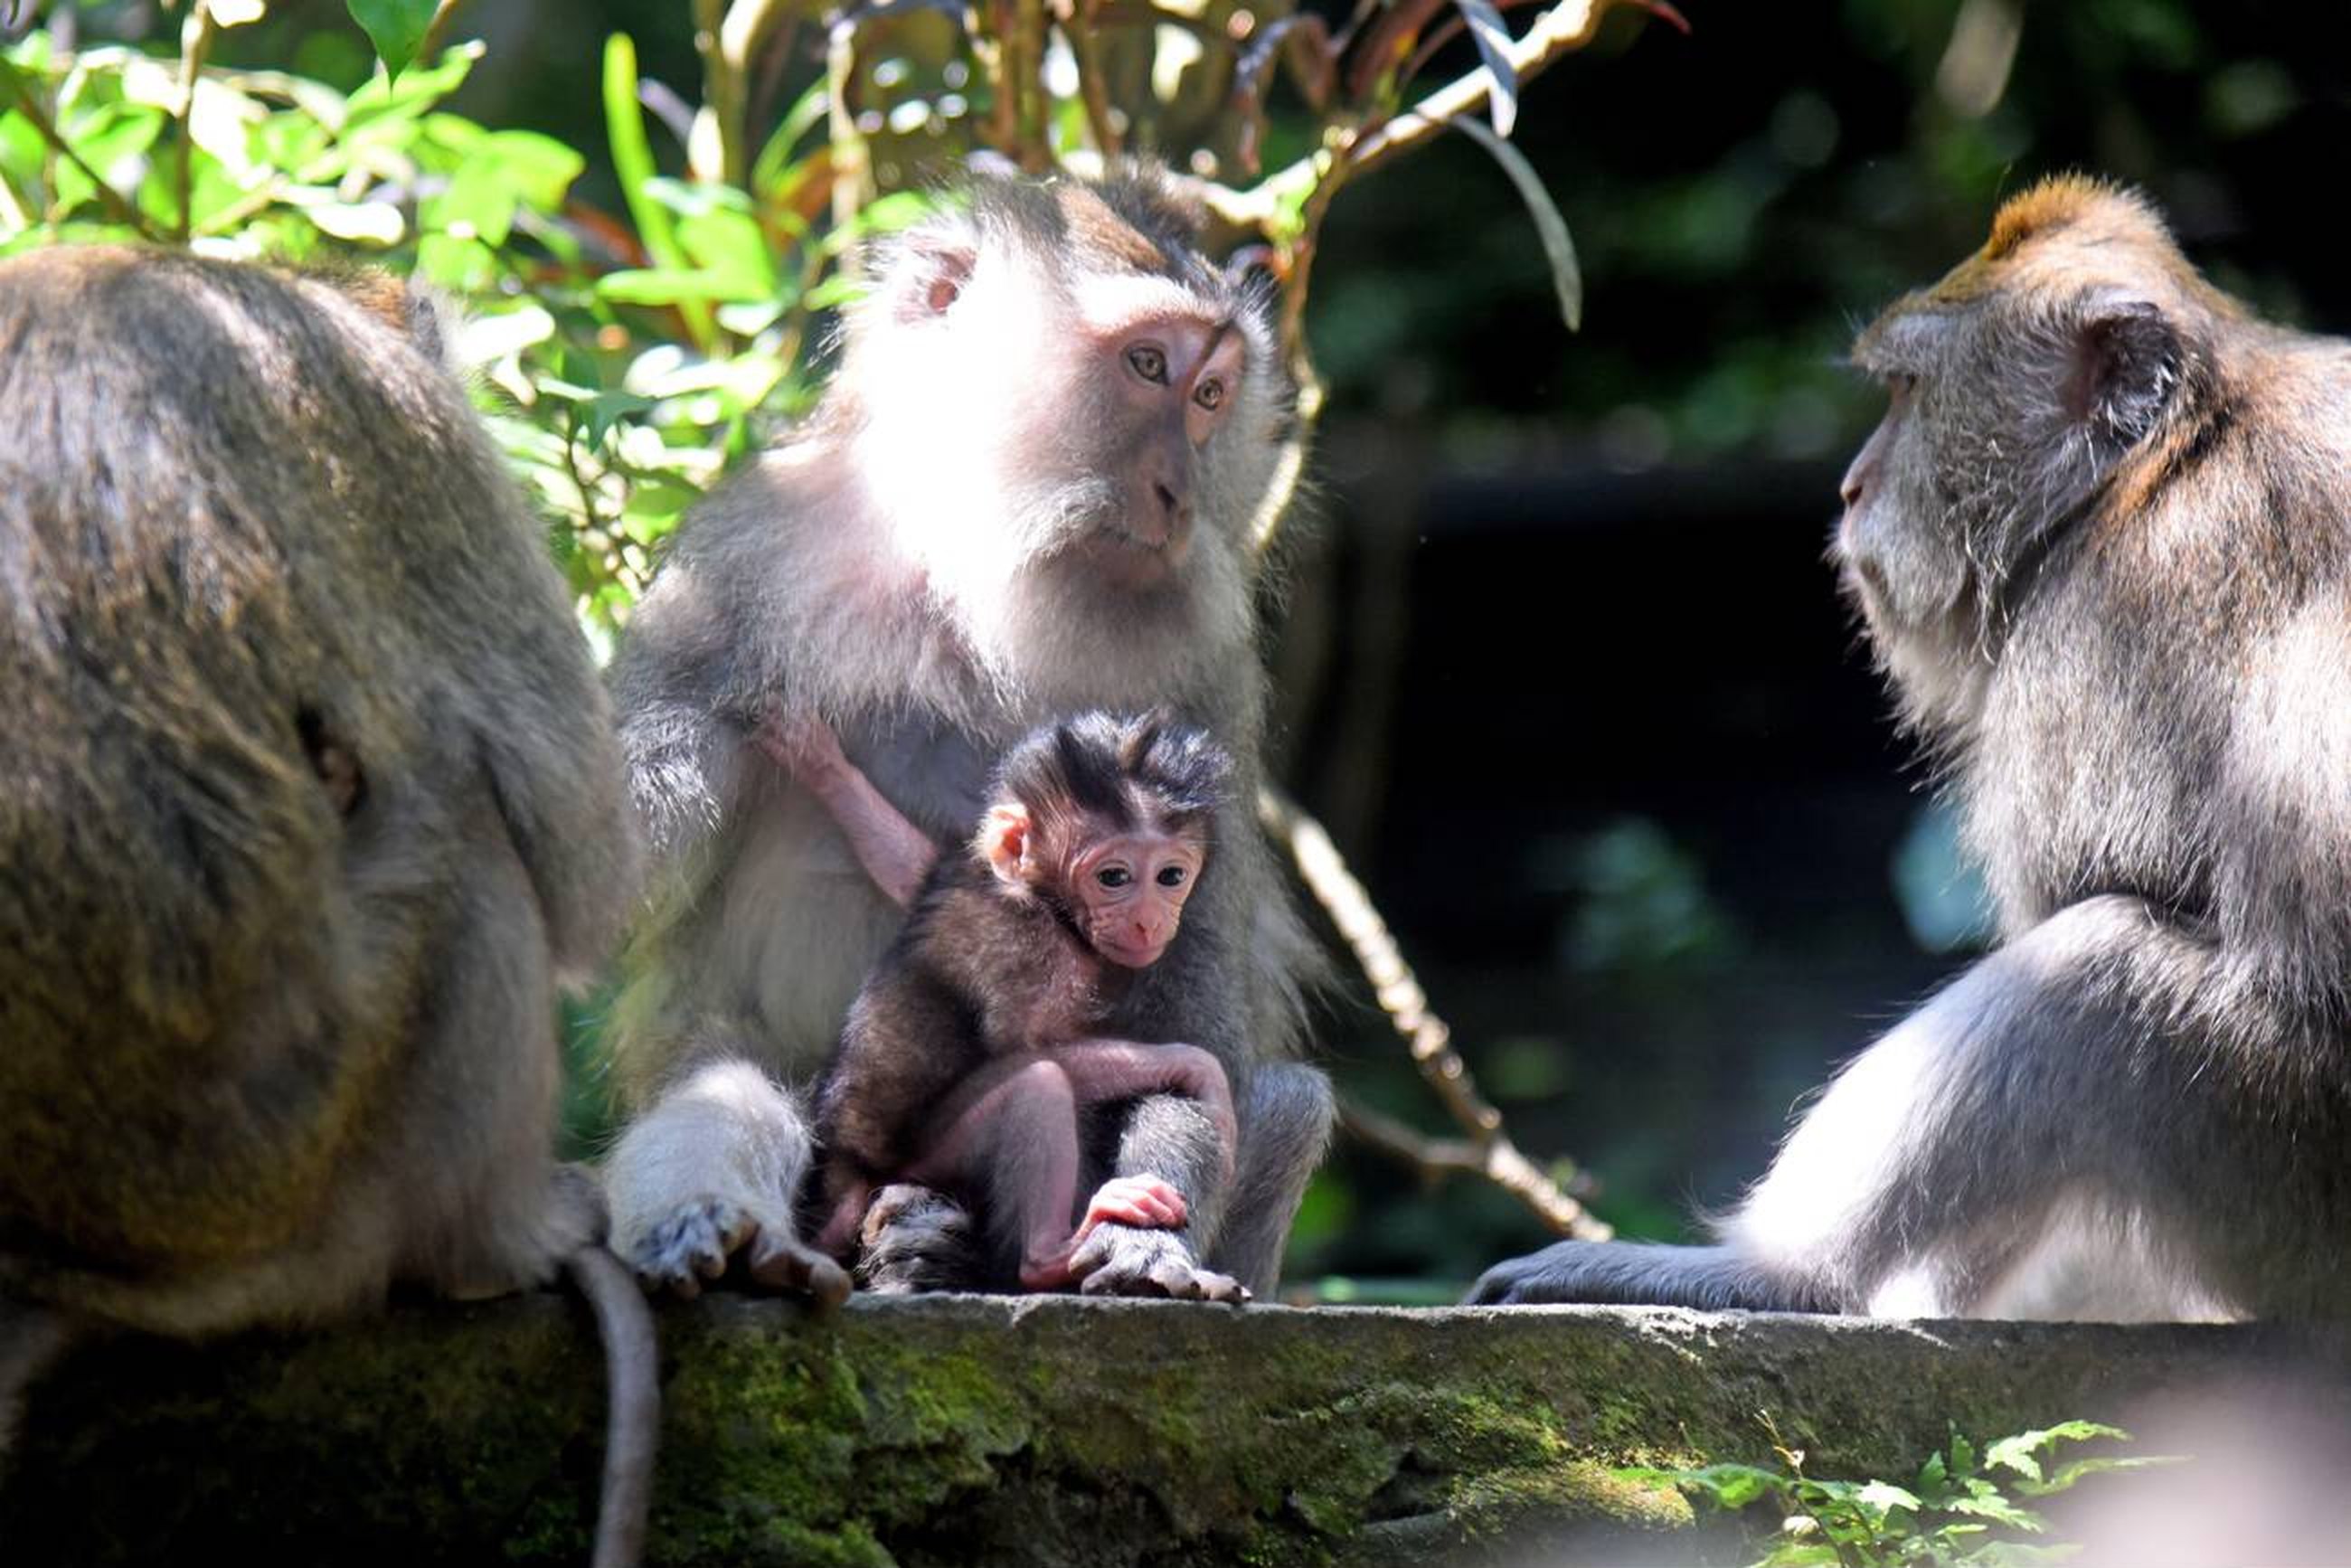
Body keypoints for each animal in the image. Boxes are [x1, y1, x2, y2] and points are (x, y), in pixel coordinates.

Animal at [606, 165, 1335, 1307]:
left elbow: (1190, 1014)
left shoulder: (1205, 678)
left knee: (1286, 1101)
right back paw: (744, 1235)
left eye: (1211, 397)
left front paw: (1145, 1242)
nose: (1176, 495)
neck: (969, 562)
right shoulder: (736, 559)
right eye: (1146, 366)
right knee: (722, 1085)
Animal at [1476, 175, 2351, 1326]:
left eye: (1902, 391)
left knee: (2083, 975)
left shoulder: (2090, 645)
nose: (1848, 487)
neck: (2166, 458)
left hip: (2276, 1164)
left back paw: (1782, 1279)